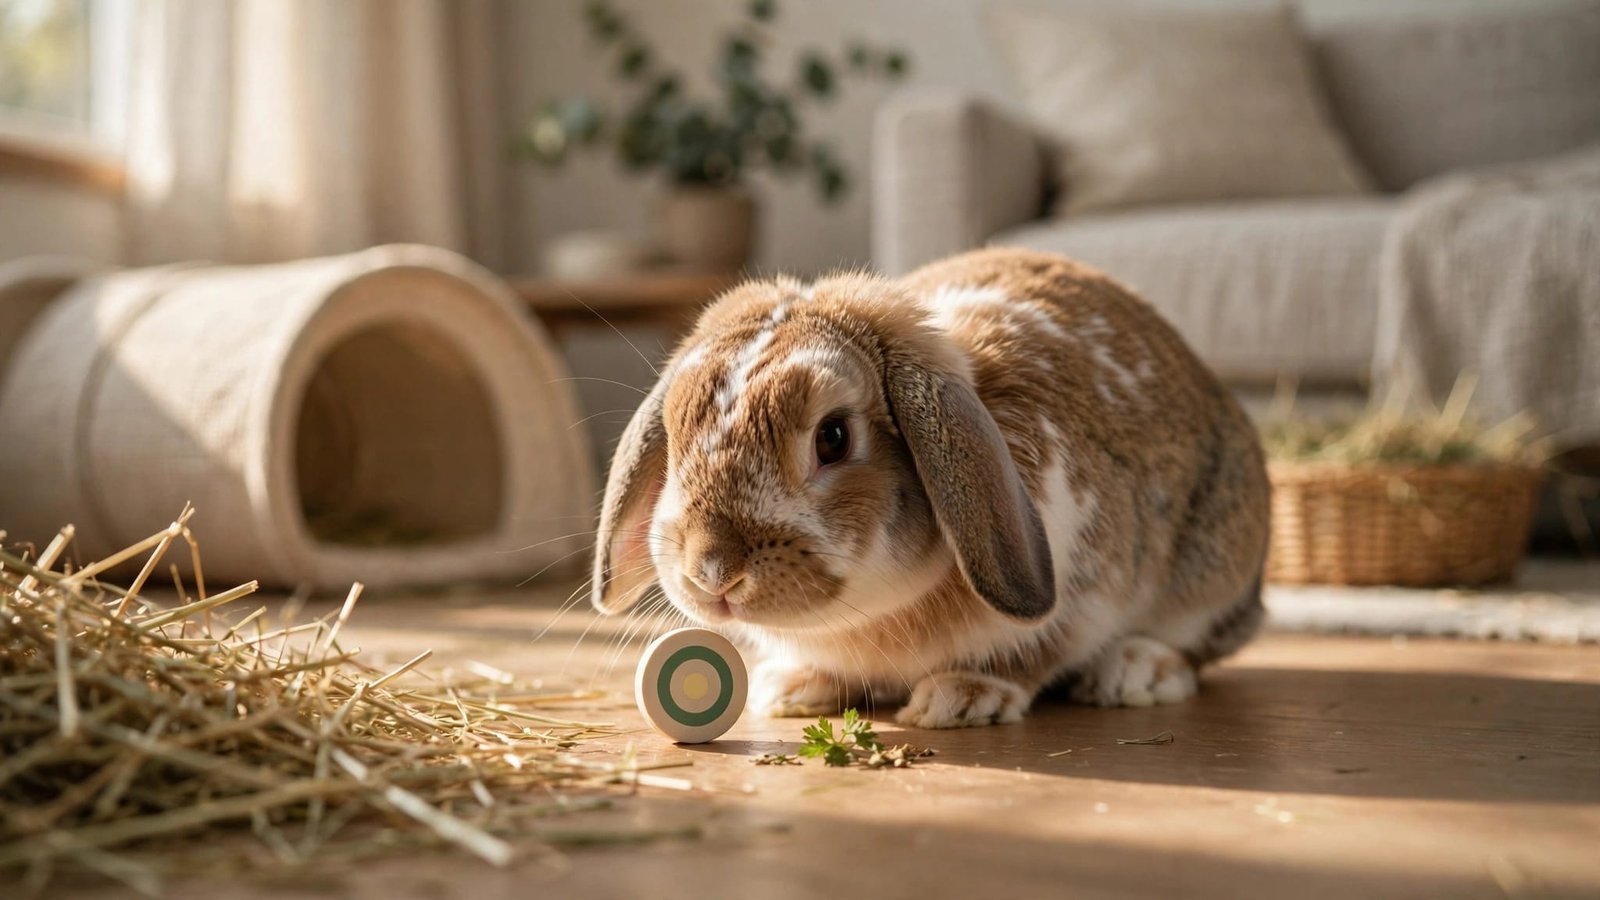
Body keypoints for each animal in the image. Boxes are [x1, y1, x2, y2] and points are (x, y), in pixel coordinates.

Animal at [591, 247, 1270, 729]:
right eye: (675, 435)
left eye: (833, 438)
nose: (712, 571)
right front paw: (791, 688)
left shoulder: (1084, 592)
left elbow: (1033, 653)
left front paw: (961, 698)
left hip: (1212, 570)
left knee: (1197, 648)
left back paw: (1134, 673)